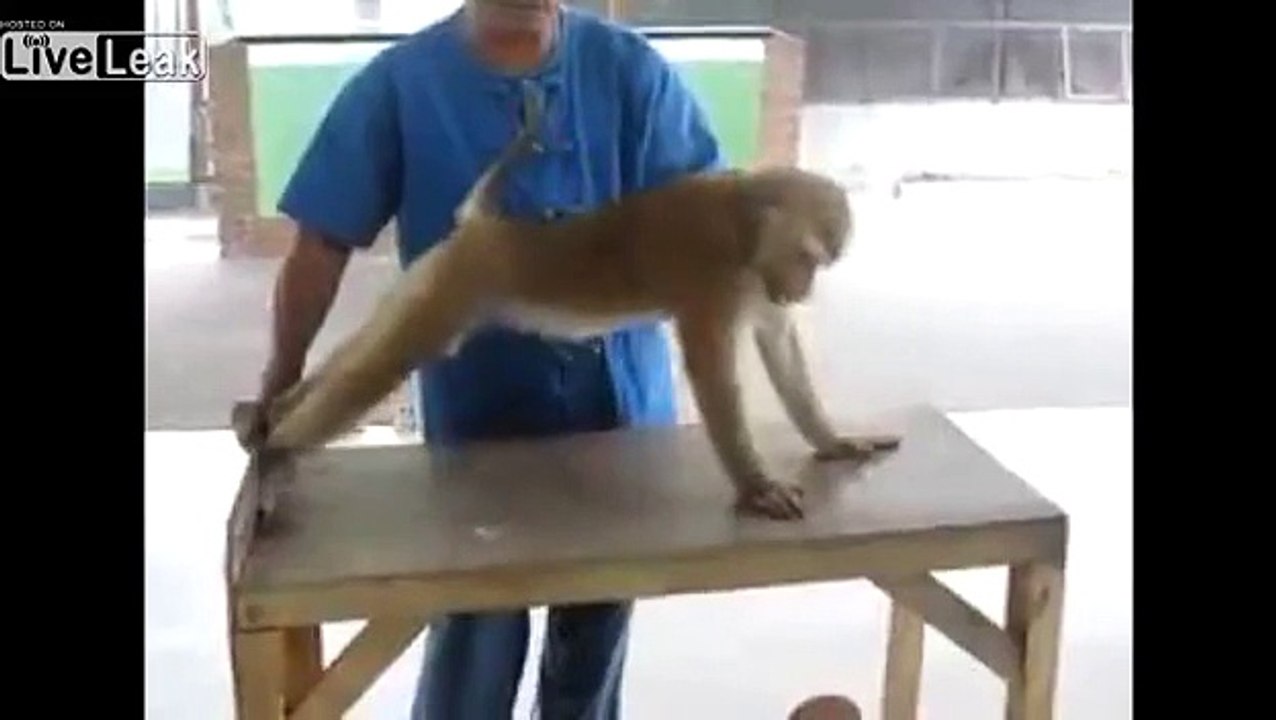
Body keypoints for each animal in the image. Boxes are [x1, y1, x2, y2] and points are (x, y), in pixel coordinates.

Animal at [253, 89, 900, 521]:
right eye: (808, 257)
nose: (805, 288)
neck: (745, 228)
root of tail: (487, 230)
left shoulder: (757, 284)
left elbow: (778, 345)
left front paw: (832, 442)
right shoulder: (714, 276)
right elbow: (712, 370)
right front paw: (754, 484)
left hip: (435, 275)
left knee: (376, 344)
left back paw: (276, 412)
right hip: (457, 284)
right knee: (389, 359)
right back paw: (277, 445)